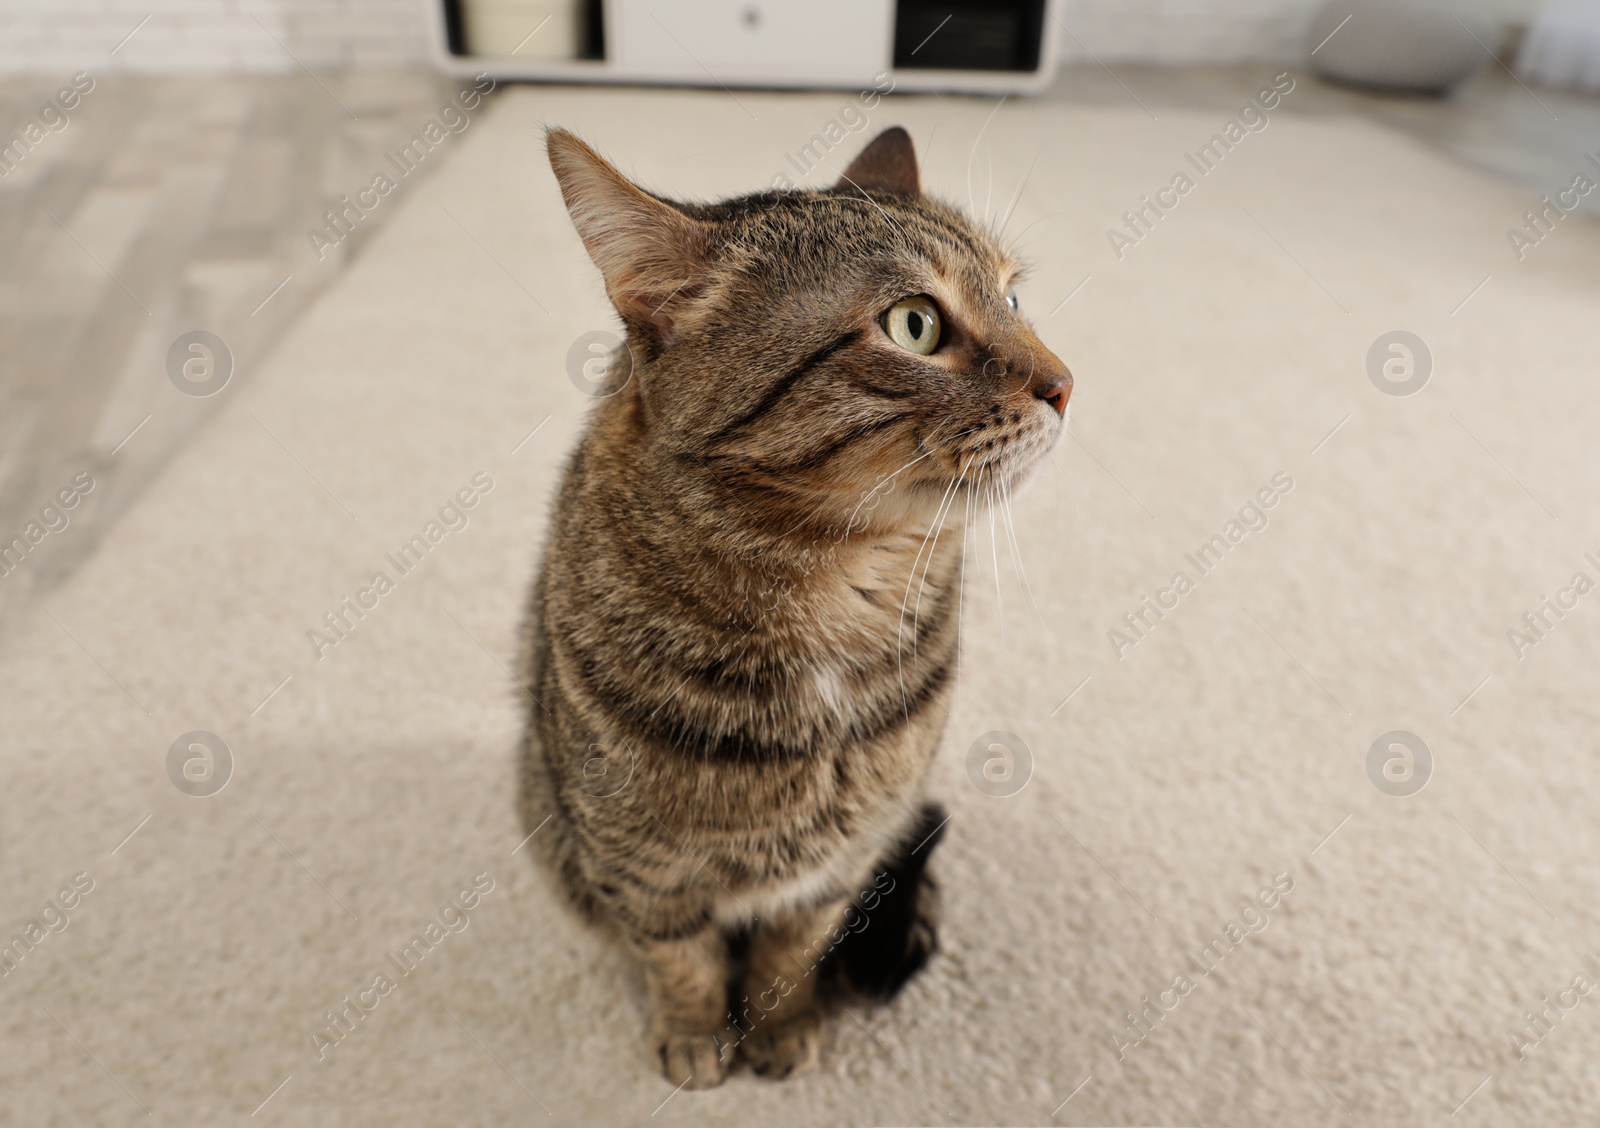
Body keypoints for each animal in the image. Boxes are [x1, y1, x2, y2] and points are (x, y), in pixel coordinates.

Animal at [521, 120, 1075, 1081]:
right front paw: (697, 1038)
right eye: (915, 325)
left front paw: (779, 1030)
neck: (828, 587)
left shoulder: (840, 862)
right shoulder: (637, 863)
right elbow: (680, 957)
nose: (1067, 382)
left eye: (1013, 297)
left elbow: (791, 951)